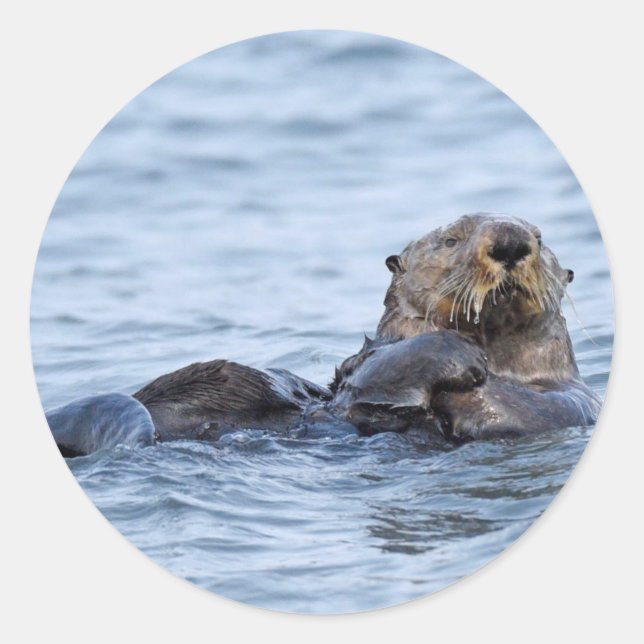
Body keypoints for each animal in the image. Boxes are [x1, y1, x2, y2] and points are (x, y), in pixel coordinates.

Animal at [45, 214, 600, 456]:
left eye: (541, 238)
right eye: (451, 239)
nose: (510, 241)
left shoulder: (571, 403)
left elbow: (521, 410)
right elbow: (370, 370)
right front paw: (458, 356)